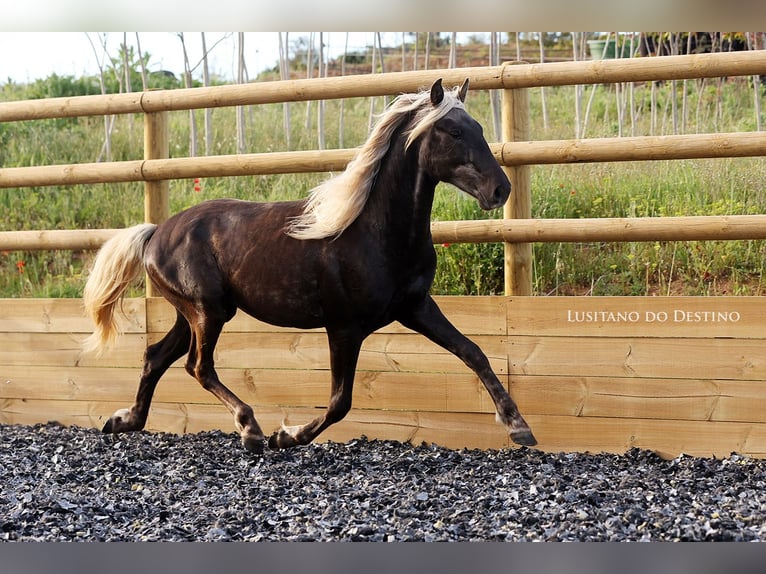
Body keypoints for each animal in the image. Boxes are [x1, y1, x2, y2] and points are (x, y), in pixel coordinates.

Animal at [82, 78, 537, 453]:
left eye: (479, 128)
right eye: (455, 131)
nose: (500, 189)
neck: (375, 230)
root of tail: (155, 232)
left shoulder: (416, 307)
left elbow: (474, 352)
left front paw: (519, 426)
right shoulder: (344, 327)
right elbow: (339, 402)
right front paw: (286, 435)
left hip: (192, 313)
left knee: (156, 356)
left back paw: (122, 421)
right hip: (207, 312)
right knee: (198, 366)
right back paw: (250, 430)